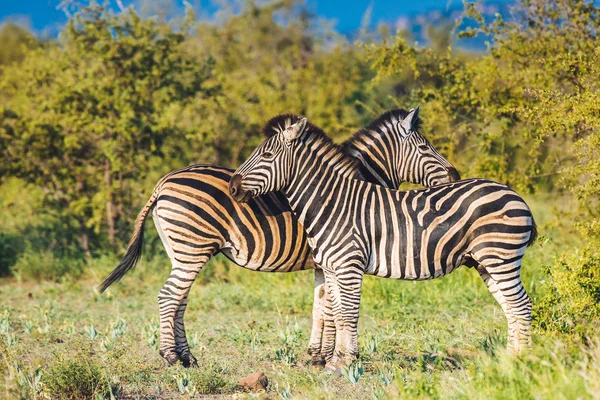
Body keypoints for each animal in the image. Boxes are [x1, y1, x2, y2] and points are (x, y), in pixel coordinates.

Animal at [98, 108, 460, 368]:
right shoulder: (331, 256)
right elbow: (331, 308)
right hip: (193, 248)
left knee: (178, 300)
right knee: (169, 297)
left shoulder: (323, 261)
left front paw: (316, 355)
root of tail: (164, 181)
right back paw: (172, 358)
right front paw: (326, 357)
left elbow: (320, 306)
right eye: (425, 146)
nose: (455, 174)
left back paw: (188, 357)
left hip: (181, 251)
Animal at [231, 108, 540, 372]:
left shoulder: (349, 266)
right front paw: (334, 361)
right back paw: (510, 361)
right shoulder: (329, 268)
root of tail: (513, 193)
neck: (331, 203)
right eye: (424, 148)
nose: (233, 188)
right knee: (510, 307)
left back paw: (523, 363)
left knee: (521, 306)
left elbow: (348, 313)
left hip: (501, 258)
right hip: (485, 262)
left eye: (266, 155)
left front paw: (346, 362)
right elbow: (337, 313)